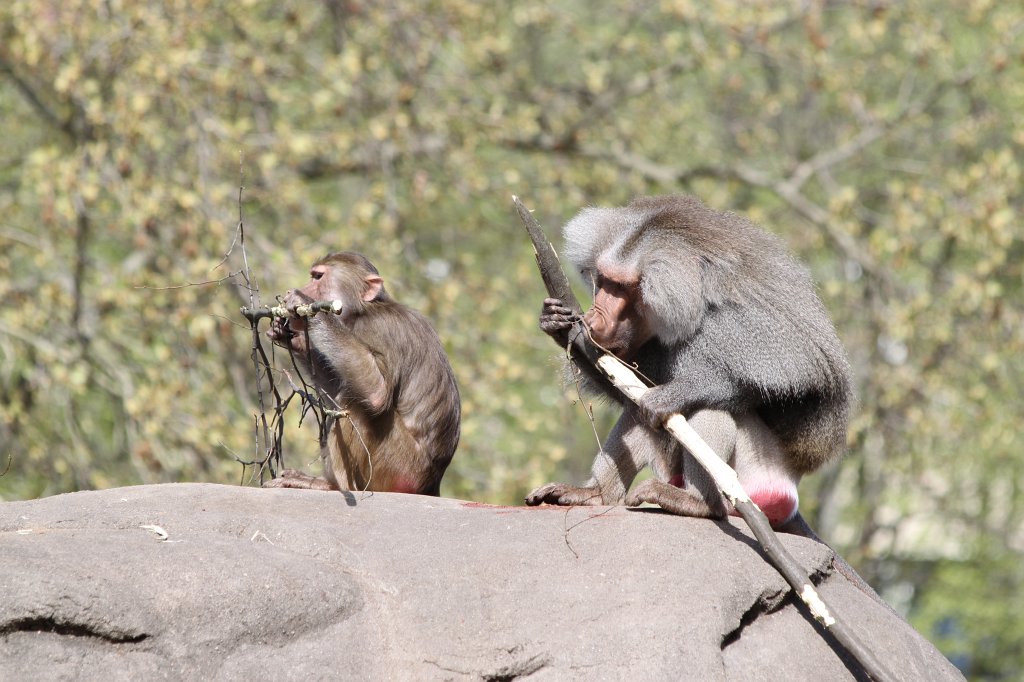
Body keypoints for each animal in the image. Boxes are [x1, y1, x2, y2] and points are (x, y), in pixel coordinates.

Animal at [263, 251, 461, 496]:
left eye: (318, 277)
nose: (300, 288)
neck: (365, 309)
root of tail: (431, 482)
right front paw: (291, 337)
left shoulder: (378, 329)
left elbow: (376, 393)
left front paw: (304, 305)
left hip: (399, 468)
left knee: (357, 403)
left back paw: (332, 485)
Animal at [525, 195, 853, 529]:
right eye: (603, 281)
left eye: (621, 287)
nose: (592, 319)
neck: (694, 302)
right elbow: (625, 387)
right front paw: (557, 323)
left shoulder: (737, 326)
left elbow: (798, 383)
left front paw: (674, 395)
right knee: (637, 412)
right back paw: (594, 495)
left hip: (759, 474)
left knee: (708, 412)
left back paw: (698, 503)